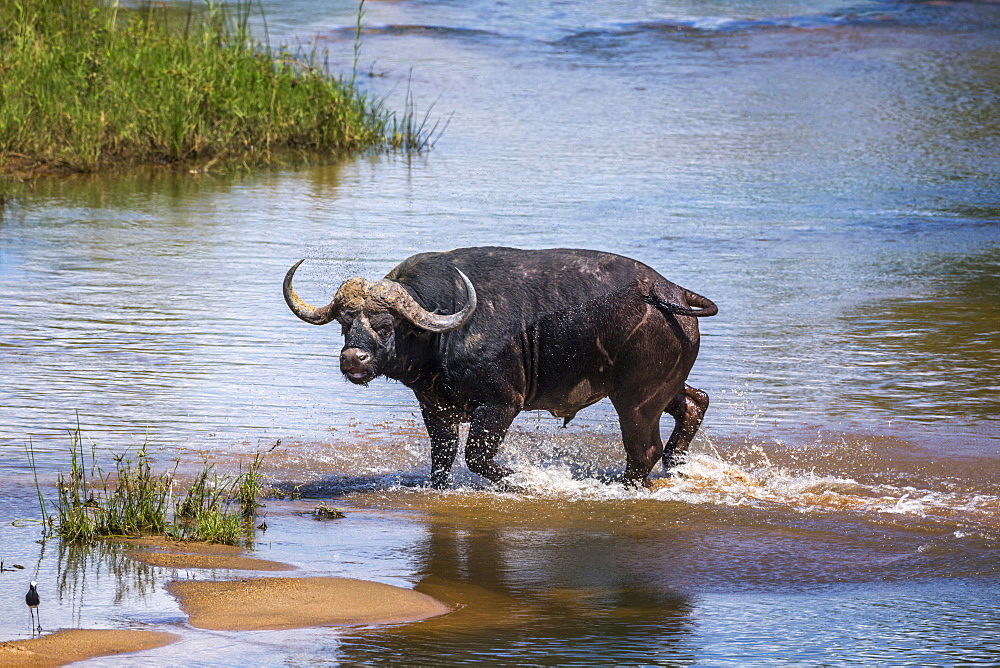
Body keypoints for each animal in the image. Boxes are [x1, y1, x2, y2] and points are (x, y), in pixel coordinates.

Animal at [286, 245, 716, 486]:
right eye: (346, 324)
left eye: (386, 326)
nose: (352, 360)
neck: (444, 332)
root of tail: (667, 292)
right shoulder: (436, 408)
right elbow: (441, 459)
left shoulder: (500, 404)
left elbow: (477, 456)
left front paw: (525, 478)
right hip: (660, 388)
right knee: (695, 403)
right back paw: (676, 465)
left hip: (636, 399)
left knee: (644, 451)